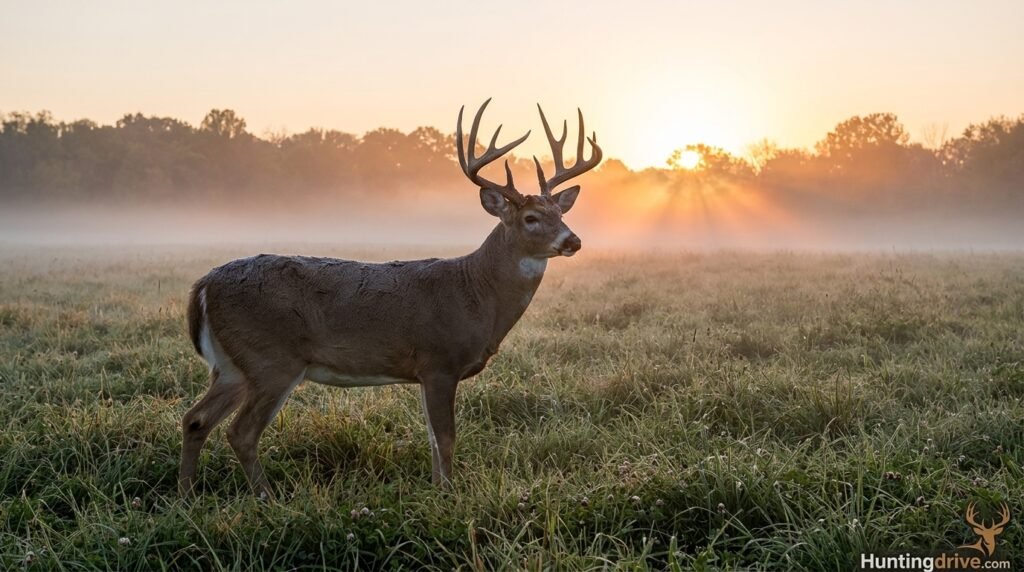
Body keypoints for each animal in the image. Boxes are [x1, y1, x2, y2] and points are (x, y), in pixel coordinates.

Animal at [178, 99, 602, 497]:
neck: (476, 292)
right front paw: (448, 495)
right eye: (531, 218)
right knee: (241, 431)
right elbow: (445, 438)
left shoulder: (425, 372)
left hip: (232, 365)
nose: (574, 241)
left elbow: (432, 439)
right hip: (272, 359)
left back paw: (187, 495)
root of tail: (204, 285)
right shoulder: (439, 361)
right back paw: (267, 498)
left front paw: (436, 489)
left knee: (195, 419)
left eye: (560, 214)